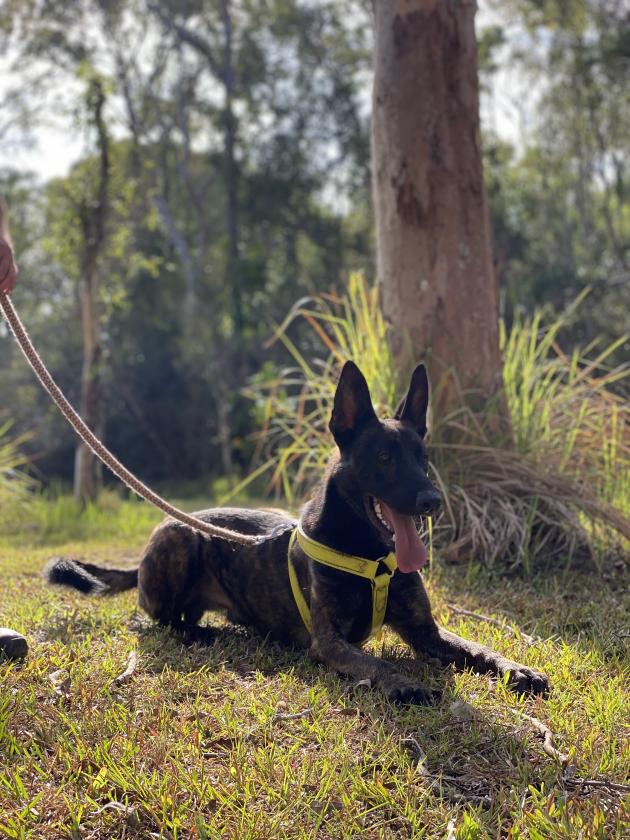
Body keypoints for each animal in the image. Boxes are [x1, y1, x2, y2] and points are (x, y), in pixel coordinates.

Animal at [44, 360, 552, 704]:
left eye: (422, 457)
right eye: (384, 457)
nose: (432, 501)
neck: (371, 555)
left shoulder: (427, 632)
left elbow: (478, 647)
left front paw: (516, 668)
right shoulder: (329, 643)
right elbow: (375, 661)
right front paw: (403, 683)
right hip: (179, 541)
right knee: (163, 619)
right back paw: (207, 634)